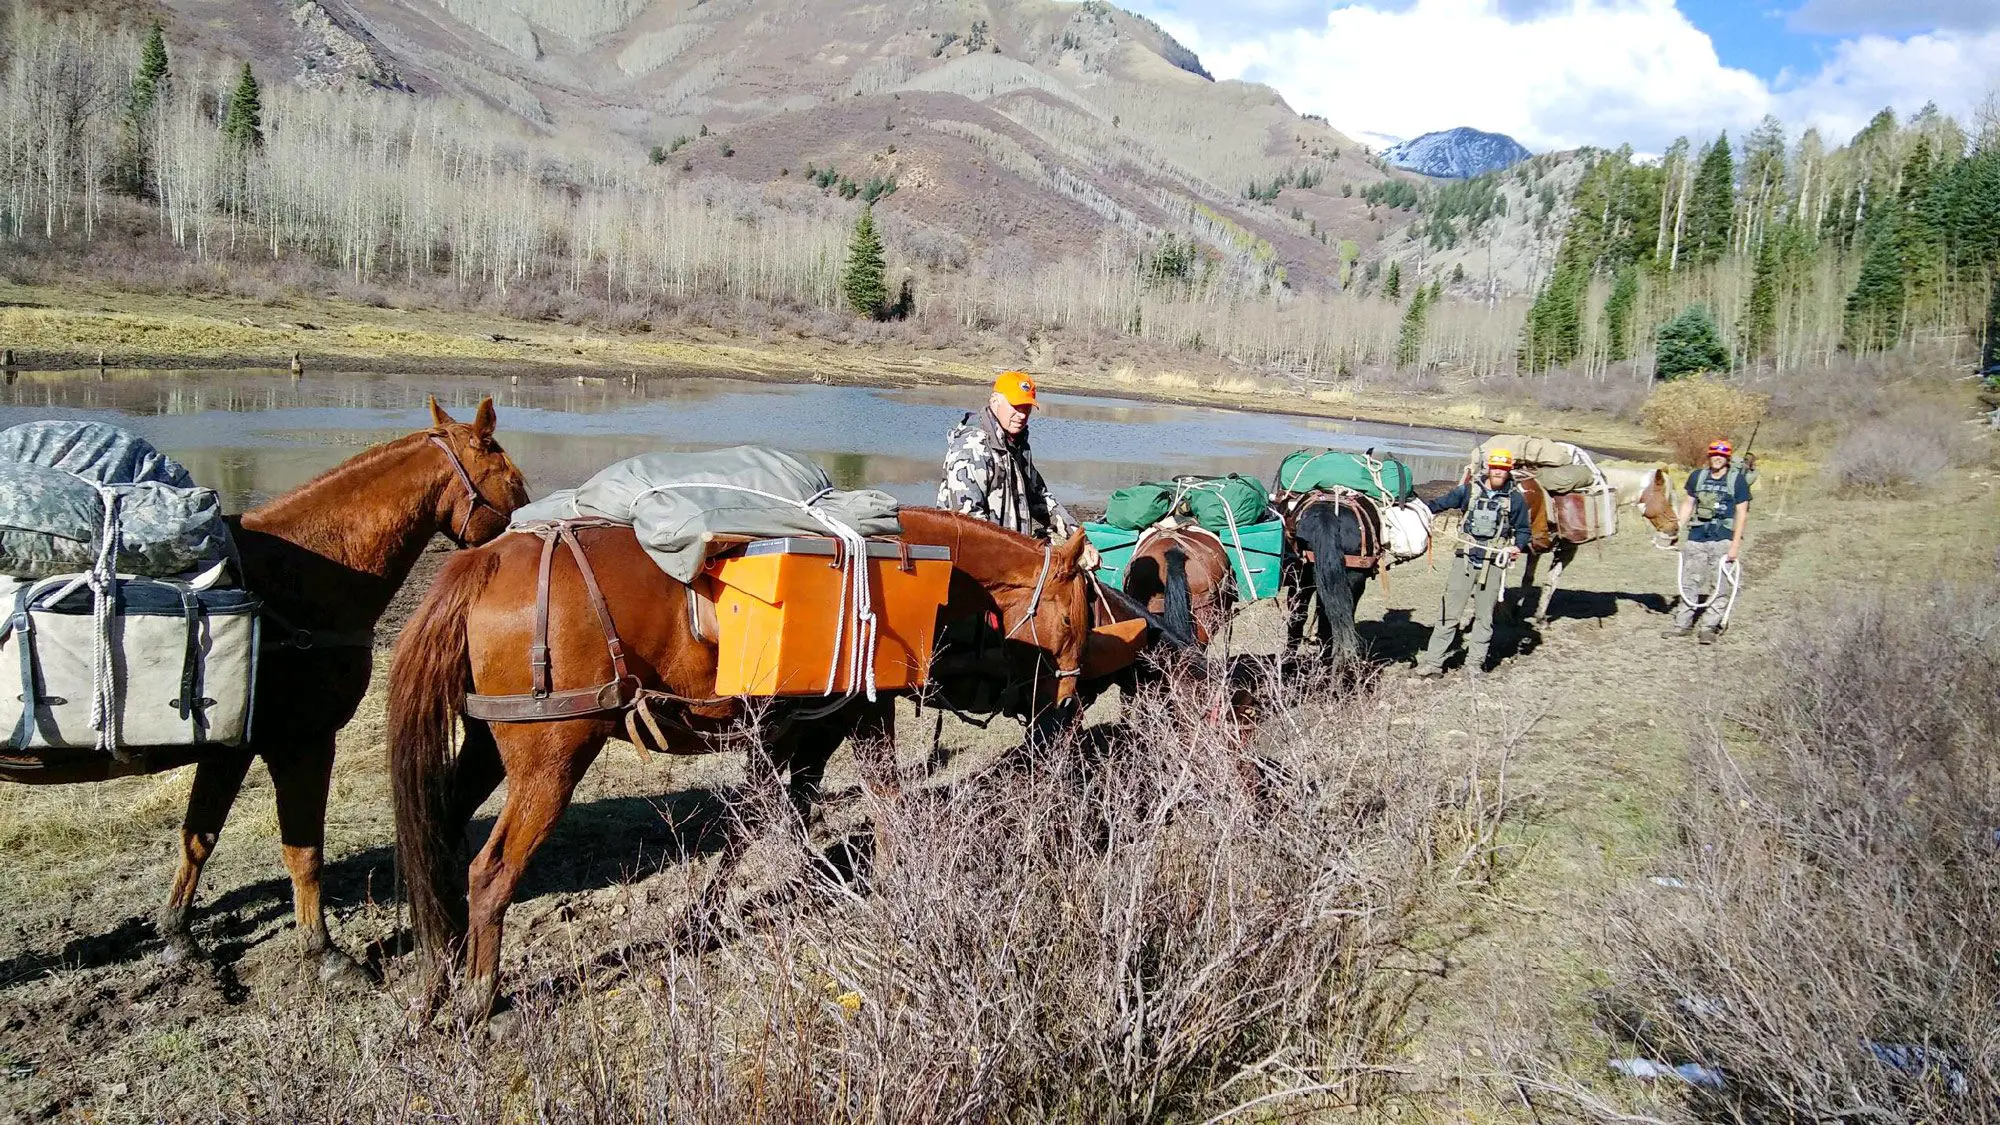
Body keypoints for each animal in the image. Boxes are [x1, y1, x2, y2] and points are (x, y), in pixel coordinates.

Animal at [0, 398, 528, 976]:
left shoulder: (231, 748)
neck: (305, 572)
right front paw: (324, 952)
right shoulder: (302, 743)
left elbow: (198, 837)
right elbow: (304, 851)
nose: (530, 532)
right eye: (512, 479)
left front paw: (178, 935)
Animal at [386, 504, 1096, 1020]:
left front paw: (713, 912)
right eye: (1076, 618)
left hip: (488, 749)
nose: (1067, 701)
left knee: (440, 840)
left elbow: (763, 816)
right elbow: (873, 798)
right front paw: (901, 881)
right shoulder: (861, 716)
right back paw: (479, 996)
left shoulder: (804, 727)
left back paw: (442, 973)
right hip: (552, 762)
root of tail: (487, 560)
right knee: (491, 871)